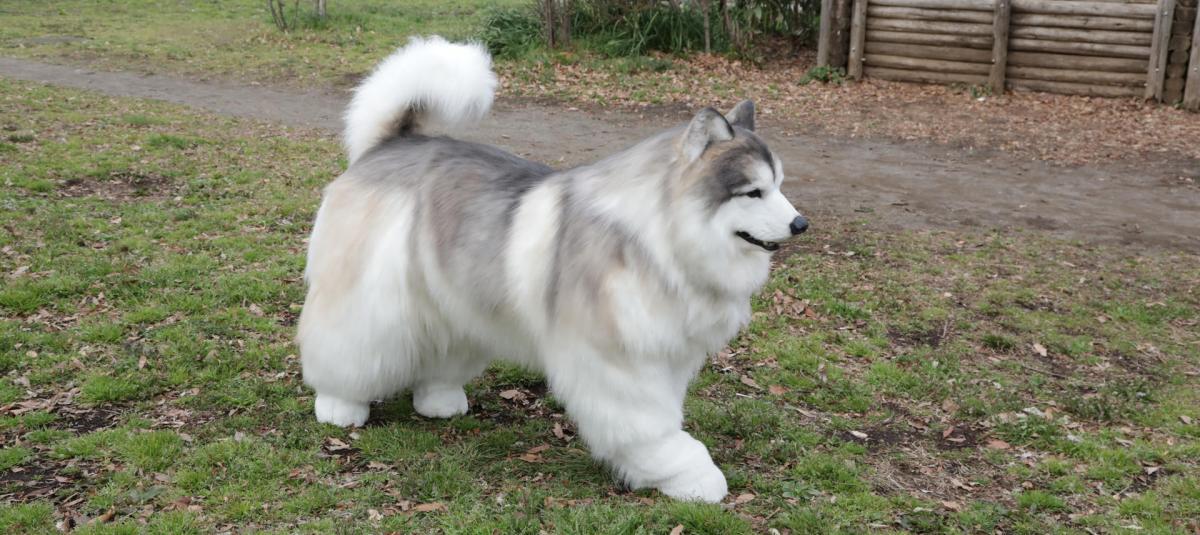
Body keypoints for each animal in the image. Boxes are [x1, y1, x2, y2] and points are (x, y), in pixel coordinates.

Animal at [297, 36, 808, 503]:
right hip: (371, 299)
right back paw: (340, 406)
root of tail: (392, 144)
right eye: (753, 192)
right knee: (344, 348)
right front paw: (685, 474)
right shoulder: (621, 362)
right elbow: (649, 428)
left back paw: (439, 399)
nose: (800, 224)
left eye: (780, 185)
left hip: (454, 301)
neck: (662, 237)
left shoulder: (665, 354)